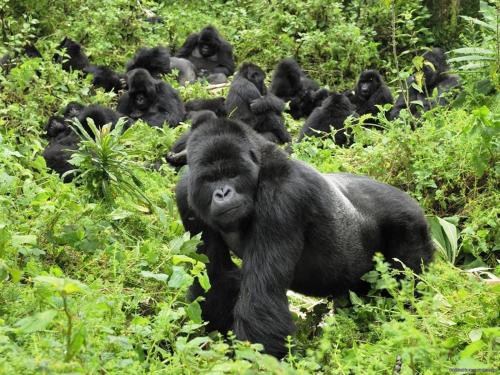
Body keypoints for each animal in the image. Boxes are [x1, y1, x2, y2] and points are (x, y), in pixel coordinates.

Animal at [176, 117, 434, 358]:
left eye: (232, 174)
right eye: (210, 179)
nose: (222, 193)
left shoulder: (282, 196)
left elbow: (262, 297)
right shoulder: (186, 193)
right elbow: (215, 277)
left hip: (411, 225)